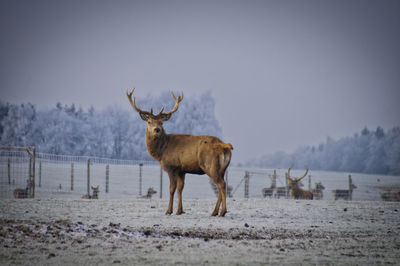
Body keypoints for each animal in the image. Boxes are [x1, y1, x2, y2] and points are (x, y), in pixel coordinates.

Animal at [126, 88, 233, 216]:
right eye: (149, 122)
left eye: (161, 122)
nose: (157, 130)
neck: (161, 152)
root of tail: (224, 146)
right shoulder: (182, 170)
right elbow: (180, 188)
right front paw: (180, 210)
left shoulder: (171, 166)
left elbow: (172, 188)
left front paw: (169, 211)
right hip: (223, 168)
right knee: (221, 184)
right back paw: (215, 212)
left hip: (210, 165)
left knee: (221, 184)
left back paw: (222, 212)